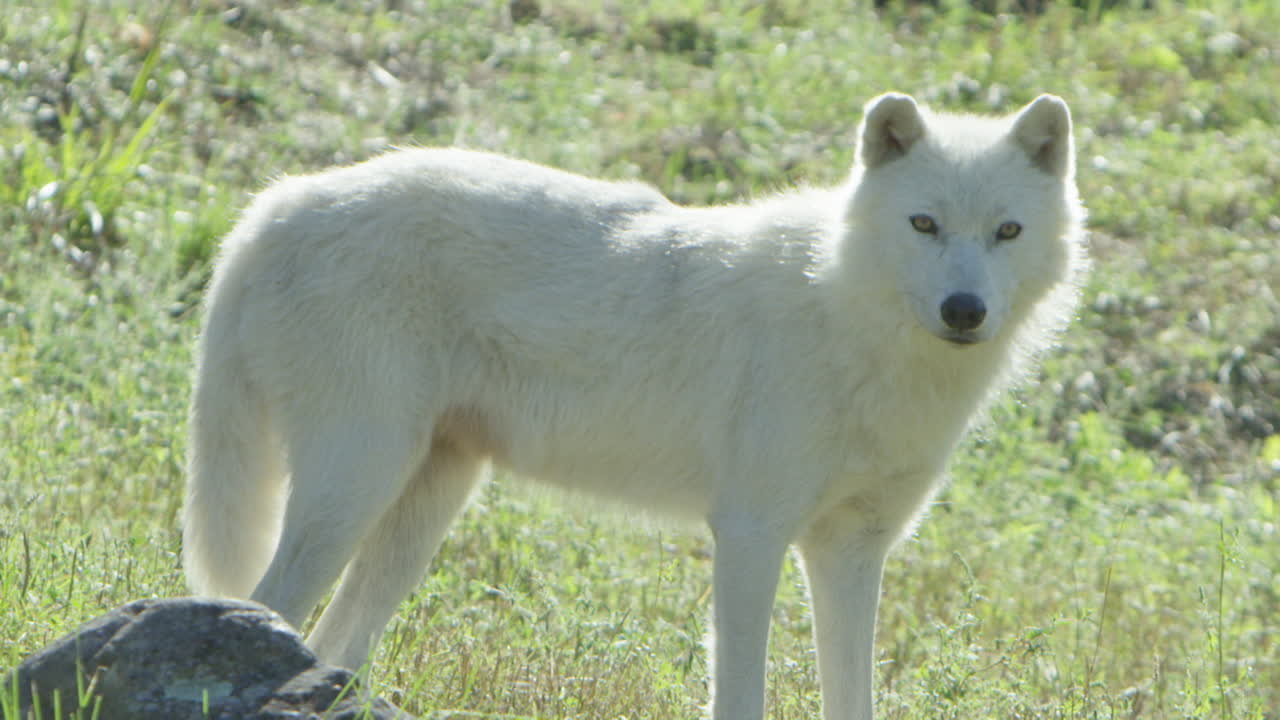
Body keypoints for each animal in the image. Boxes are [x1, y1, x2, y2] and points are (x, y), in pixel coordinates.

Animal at [182, 92, 1086, 720]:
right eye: (924, 224)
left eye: (1006, 232)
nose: (964, 310)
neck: (849, 320)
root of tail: (275, 205)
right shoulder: (752, 534)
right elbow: (741, 691)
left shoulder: (853, 551)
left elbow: (852, 696)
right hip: (357, 482)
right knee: (268, 601)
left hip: (422, 509)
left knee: (331, 639)